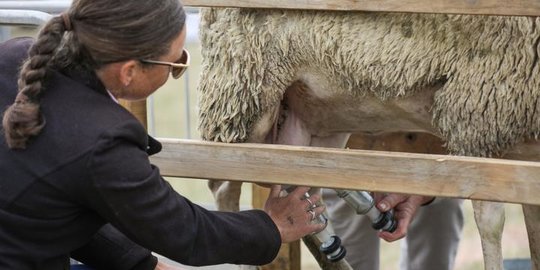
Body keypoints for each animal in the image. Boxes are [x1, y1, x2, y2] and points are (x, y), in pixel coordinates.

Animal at [197, 7, 540, 268]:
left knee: (302, 184)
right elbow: (491, 223)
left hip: (314, 117)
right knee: (224, 182)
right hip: (242, 92)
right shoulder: (476, 118)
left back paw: (342, 245)